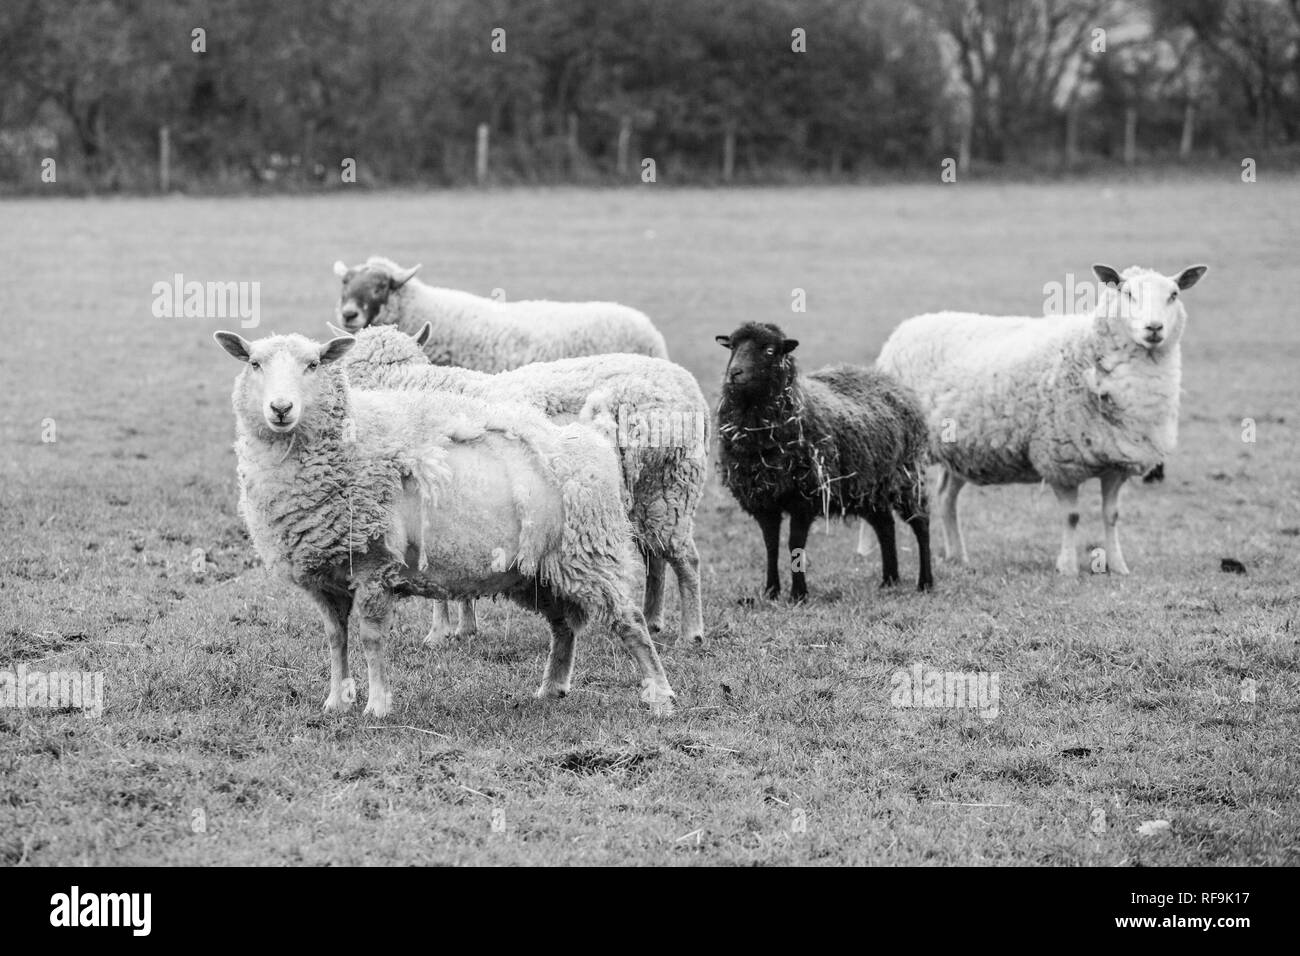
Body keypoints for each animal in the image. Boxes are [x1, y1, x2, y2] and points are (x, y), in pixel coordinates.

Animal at [211, 330, 676, 718]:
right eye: (254, 364)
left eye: (313, 364)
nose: (281, 408)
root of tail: (592, 440)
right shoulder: (325, 577)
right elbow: (335, 638)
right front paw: (336, 702)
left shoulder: (374, 565)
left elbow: (372, 639)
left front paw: (377, 707)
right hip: (541, 571)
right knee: (563, 626)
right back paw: (552, 688)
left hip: (591, 552)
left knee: (629, 620)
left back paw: (660, 696)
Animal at [343, 324, 709, 646]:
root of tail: (688, 384)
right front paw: (464, 628)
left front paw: (438, 633)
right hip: (649, 494)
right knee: (656, 556)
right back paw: (653, 619)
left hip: (670, 484)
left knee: (686, 559)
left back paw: (691, 632)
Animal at [715, 321, 933, 601]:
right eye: (732, 347)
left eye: (770, 350)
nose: (734, 373)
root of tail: (892, 383)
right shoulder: (763, 499)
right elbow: (770, 544)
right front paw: (771, 591)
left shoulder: (804, 497)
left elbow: (795, 544)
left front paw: (798, 594)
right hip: (868, 488)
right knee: (885, 526)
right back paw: (889, 580)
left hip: (907, 477)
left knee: (921, 523)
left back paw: (925, 582)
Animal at [875, 263, 1208, 575]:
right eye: (1126, 293)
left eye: (1174, 295)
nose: (1154, 328)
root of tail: (909, 326)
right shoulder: (1058, 458)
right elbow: (1071, 516)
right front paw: (1068, 567)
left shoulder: (1116, 462)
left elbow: (1111, 516)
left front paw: (1118, 566)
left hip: (958, 449)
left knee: (946, 497)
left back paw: (958, 556)